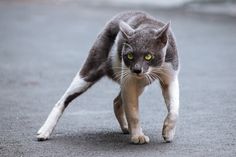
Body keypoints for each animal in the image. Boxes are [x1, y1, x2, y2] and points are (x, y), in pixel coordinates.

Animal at [37, 10, 180, 144]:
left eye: (148, 56)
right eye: (130, 56)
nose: (137, 70)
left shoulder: (170, 76)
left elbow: (174, 108)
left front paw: (168, 133)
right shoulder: (129, 82)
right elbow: (133, 113)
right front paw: (138, 137)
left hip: (139, 84)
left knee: (116, 101)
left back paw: (126, 127)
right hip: (89, 72)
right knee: (62, 100)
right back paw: (44, 132)